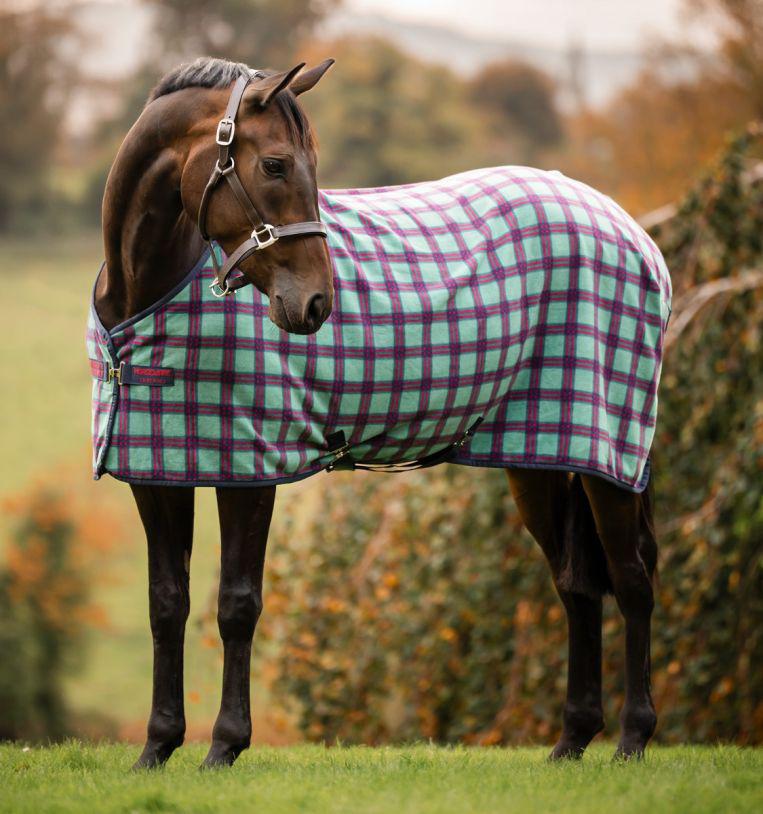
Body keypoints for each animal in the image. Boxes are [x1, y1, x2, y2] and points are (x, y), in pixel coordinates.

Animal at [92, 57, 670, 769]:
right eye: (276, 165)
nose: (316, 303)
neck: (144, 296)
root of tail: (632, 232)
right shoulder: (158, 470)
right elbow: (166, 603)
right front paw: (158, 746)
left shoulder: (249, 472)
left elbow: (236, 605)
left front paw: (225, 745)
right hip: (536, 460)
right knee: (578, 584)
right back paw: (571, 741)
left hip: (606, 456)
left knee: (633, 579)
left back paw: (633, 738)